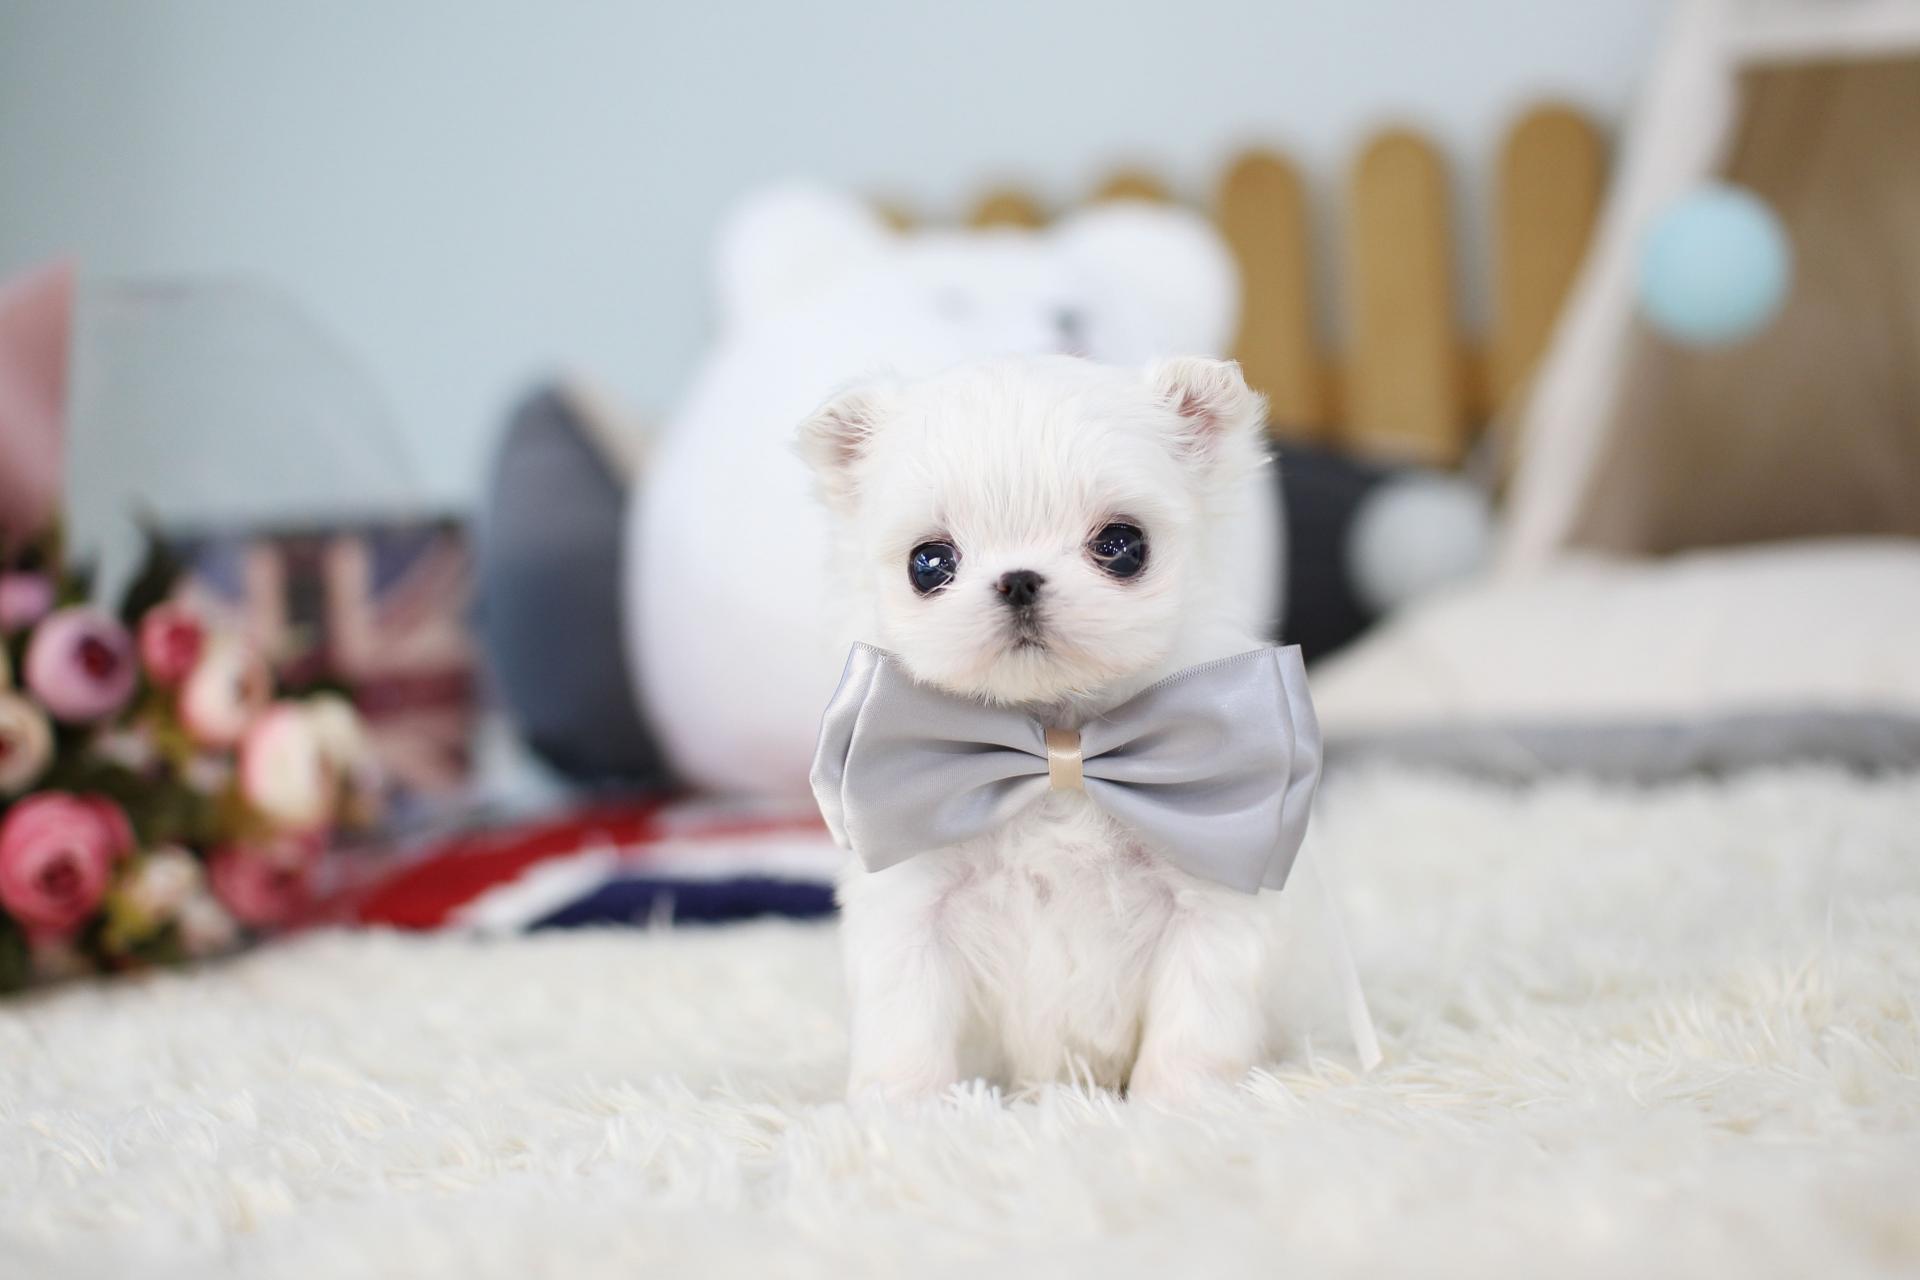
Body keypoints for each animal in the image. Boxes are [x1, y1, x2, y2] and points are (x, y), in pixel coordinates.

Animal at [797, 353, 1289, 1103]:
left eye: (1122, 545)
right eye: (929, 563)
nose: (1020, 579)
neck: (1057, 743)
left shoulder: (1207, 903)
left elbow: (1195, 1023)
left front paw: (1179, 1105)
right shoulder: (912, 908)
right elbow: (906, 1023)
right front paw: (904, 1107)